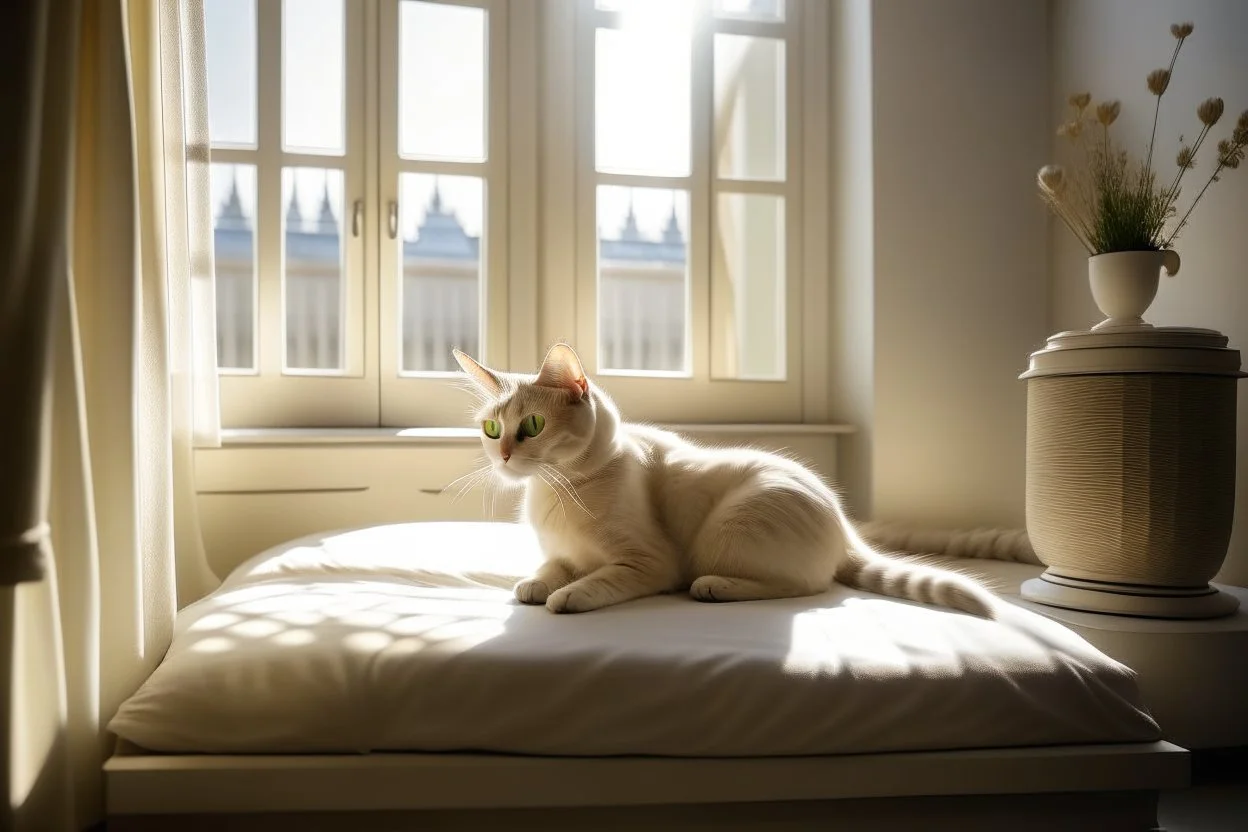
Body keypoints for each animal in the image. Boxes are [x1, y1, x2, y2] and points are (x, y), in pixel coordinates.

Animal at [454, 339, 1018, 618]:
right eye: (491, 428)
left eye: (531, 426)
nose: (503, 453)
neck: (558, 490)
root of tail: (846, 529)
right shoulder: (561, 553)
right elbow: (549, 570)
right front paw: (536, 584)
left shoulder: (648, 563)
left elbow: (595, 579)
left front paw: (568, 596)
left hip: (729, 527)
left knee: (807, 586)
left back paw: (714, 588)